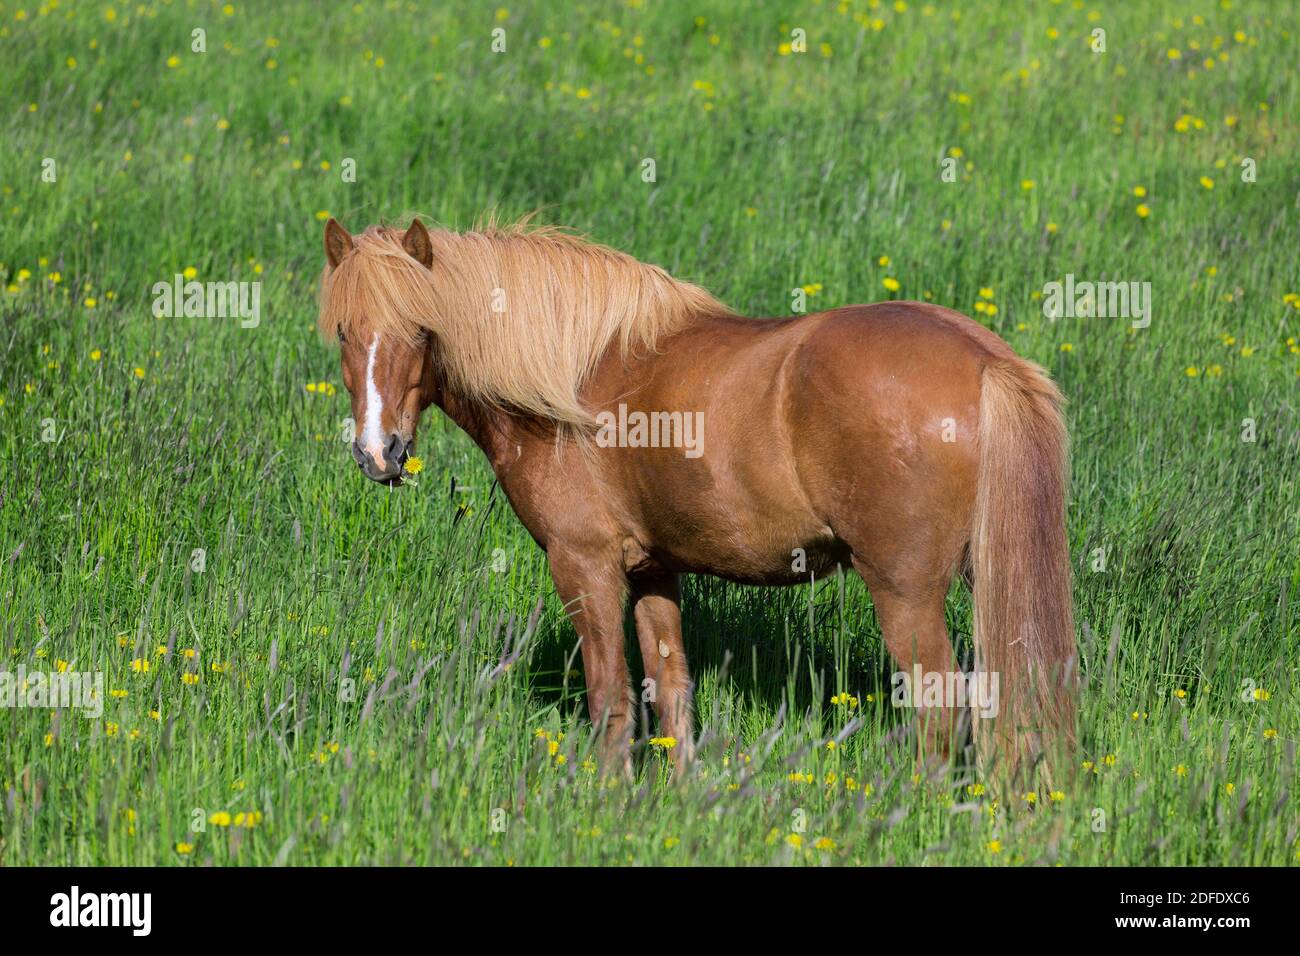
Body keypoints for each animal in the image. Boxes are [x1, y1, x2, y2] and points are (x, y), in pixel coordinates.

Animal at [318, 216, 1078, 785]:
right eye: (345, 334)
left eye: (421, 330)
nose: (378, 453)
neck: (574, 377)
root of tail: (985, 361)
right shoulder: (655, 571)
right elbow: (669, 687)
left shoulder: (584, 565)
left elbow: (611, 695)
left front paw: (608, 801)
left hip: (904, 590)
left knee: (940, 704)